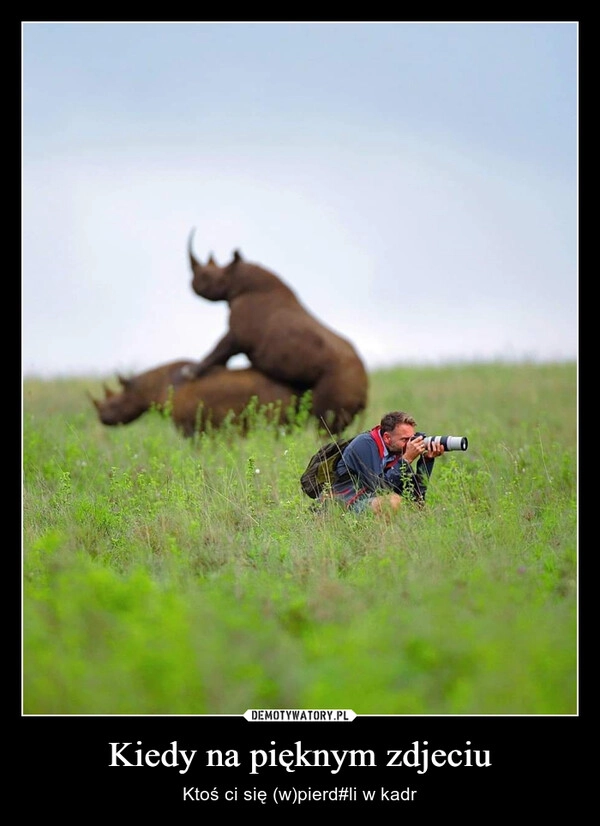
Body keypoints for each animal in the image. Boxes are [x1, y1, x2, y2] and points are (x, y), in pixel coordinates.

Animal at [180, 229, 368, 434]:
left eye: (206, 276)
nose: (192, 284)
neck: (236, 279)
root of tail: (366, 390)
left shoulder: (238, 333)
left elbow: (220, 348)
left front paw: (189, 372)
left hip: (341, 378)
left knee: (324, 420)